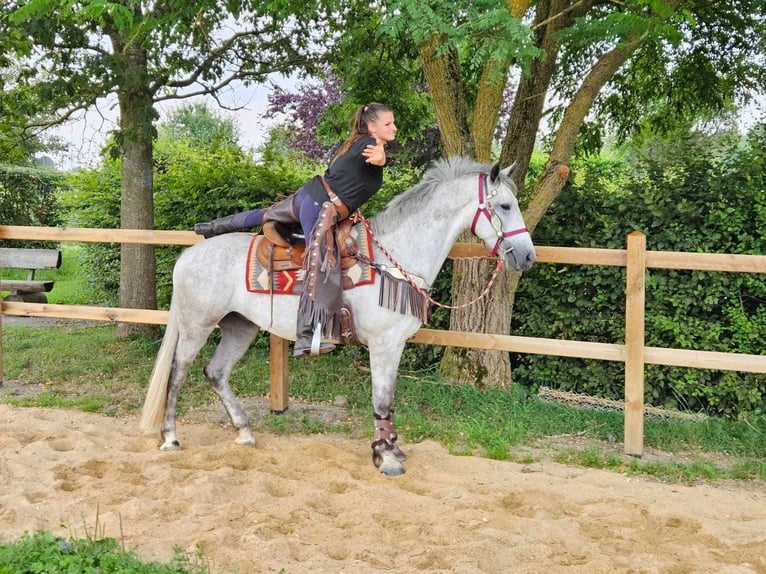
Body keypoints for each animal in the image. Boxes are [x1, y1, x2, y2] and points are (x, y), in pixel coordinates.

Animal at [140, 158, 536, 476]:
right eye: (505, 205)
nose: (528, 256)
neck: (392, 260)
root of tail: (188, 255)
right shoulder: (383, 344)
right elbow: (381, 400)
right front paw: (387, 458)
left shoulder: (395, 345)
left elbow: (388, 399)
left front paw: (391, 451)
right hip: (197, 325)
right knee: (177, 373)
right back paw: (170, 438)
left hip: (241, 327)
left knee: (216, 372)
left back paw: (245, 432)